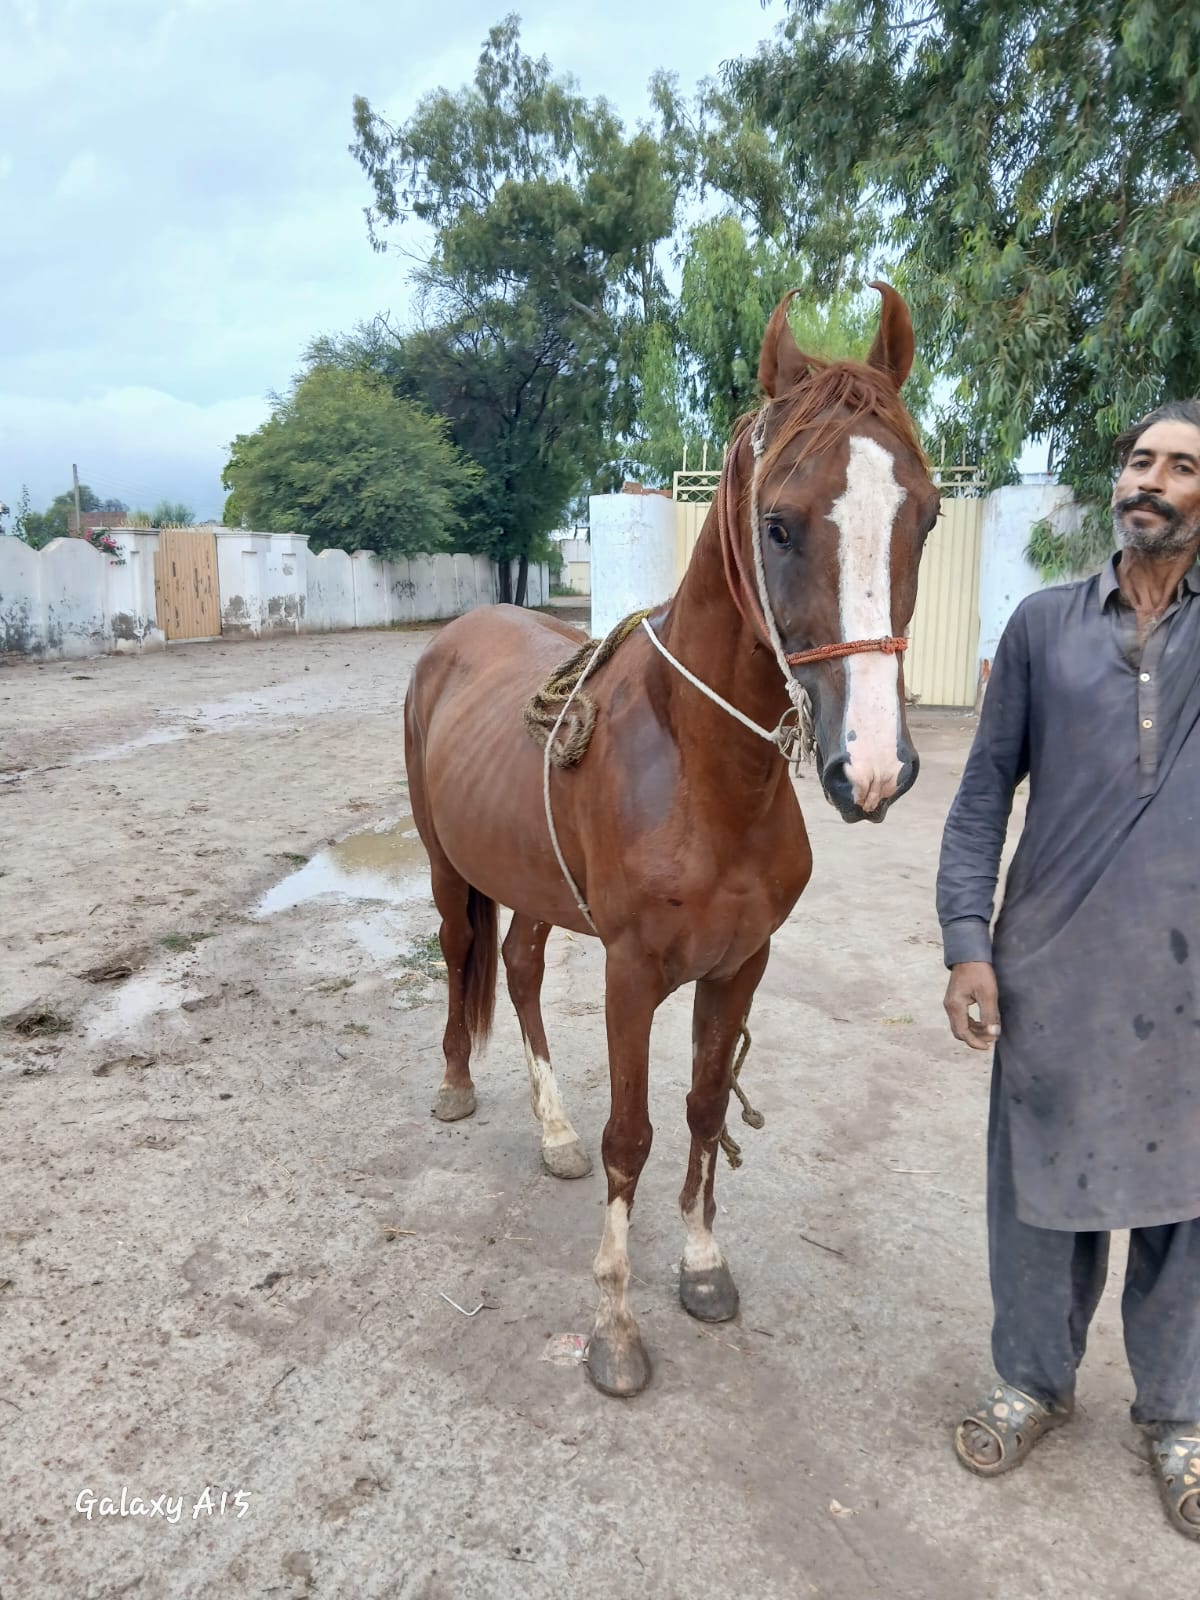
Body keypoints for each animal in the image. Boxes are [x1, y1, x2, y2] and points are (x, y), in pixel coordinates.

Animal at [404, 285, 940, 1396]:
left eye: (926, 515)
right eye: (778, 525)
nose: (870, 766)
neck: (704, 778)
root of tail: (453, 638)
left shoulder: (739, 965)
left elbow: (700, 1111)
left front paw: (700, 1265)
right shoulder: (632, 971)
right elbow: (633, 1135)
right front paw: (614, 1326)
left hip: (537, 886)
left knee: (519, 967)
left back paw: (550, 1130)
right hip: (445, 868)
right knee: (462, 954)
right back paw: (457, 1088)